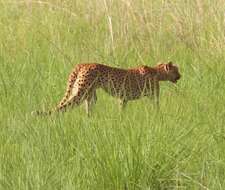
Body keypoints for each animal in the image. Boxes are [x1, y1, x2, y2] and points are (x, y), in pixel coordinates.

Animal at [33, 61, 181, 116]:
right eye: (176, 70)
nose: (180, 76)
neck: (157, 72)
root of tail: (83, 64)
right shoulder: (128, 97)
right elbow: (157, 107)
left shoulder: (123, 98)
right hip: (81, 91)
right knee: (65, 106)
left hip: (90, 94)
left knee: (87, 108)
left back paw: (90, 120)